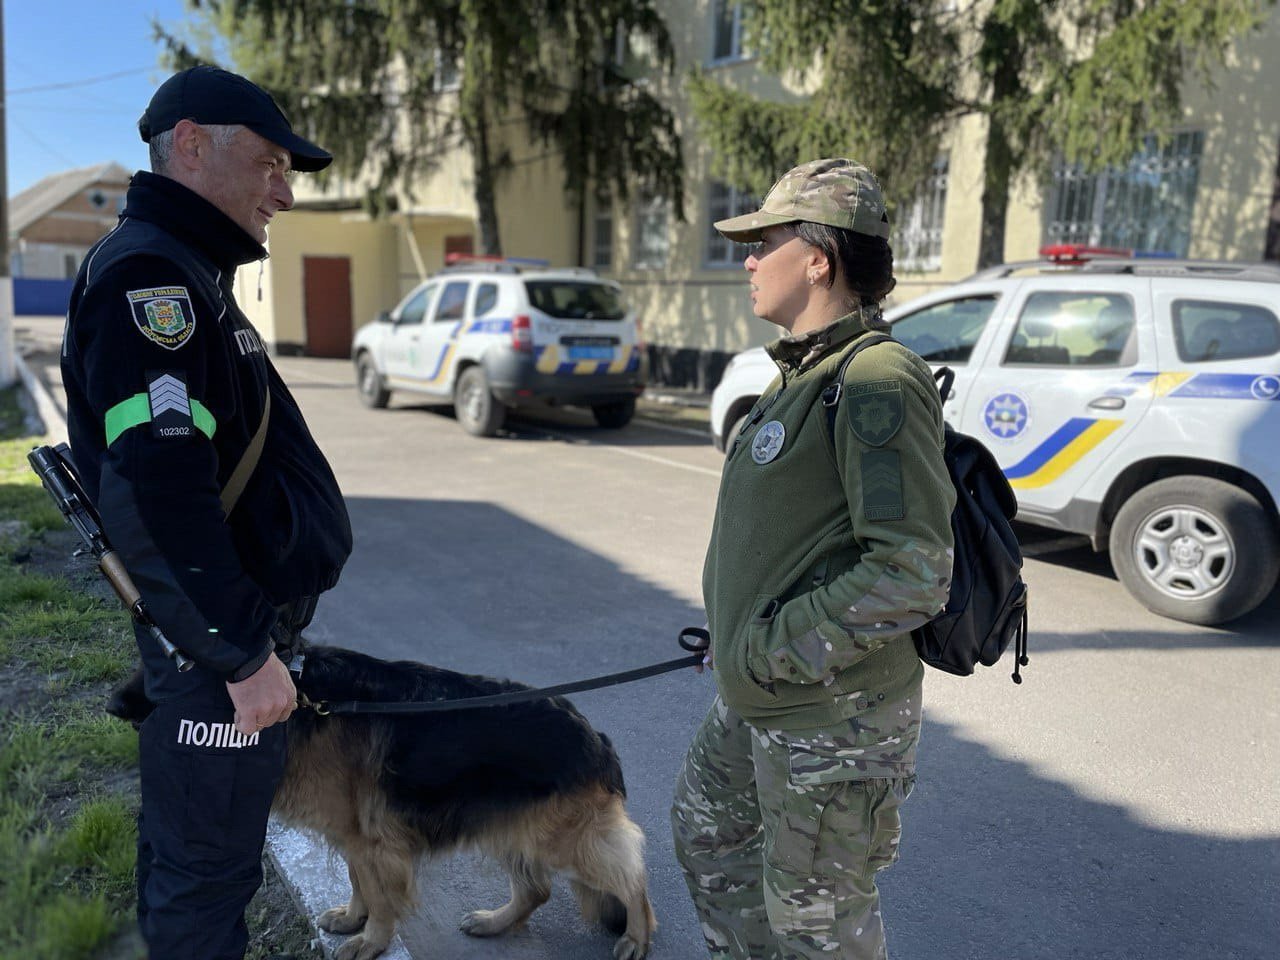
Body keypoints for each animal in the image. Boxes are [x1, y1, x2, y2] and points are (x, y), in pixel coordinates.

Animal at [108, 644, 657, 960]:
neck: (302, 697)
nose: (113, 705)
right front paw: (355, 919)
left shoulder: (372, 842)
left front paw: (372, 941)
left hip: (564, 839)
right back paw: (494, 922)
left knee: (631, 877)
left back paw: (637, 937)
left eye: (170, 678)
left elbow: (380, 895)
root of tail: (594, 737)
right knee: (537, 890)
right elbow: (360, 884)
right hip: (507, 824)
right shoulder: (355, 837)